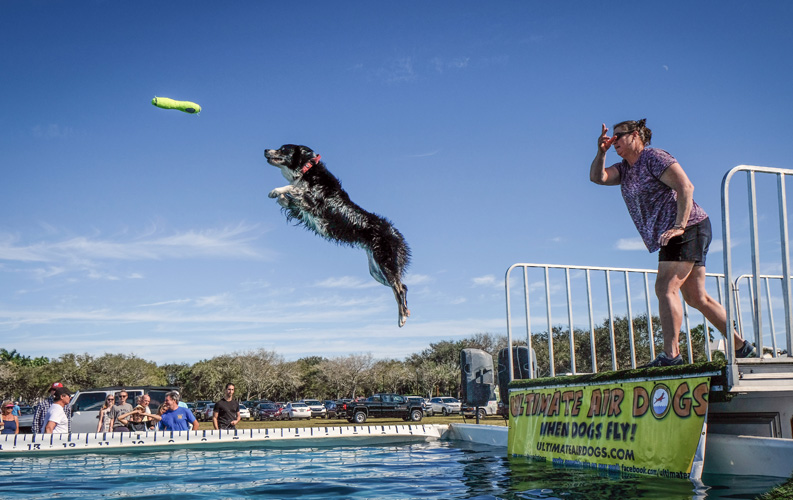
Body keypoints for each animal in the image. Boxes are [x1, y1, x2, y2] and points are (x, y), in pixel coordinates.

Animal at [268, 145, 414, 326]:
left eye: (283, 149)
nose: (265, 150)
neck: (307, 170)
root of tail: (396, 233)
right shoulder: (301, 210)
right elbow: (286, 197)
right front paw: (279, 194)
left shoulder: (314, 201)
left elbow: (295, 188)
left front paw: (276, 190)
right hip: (376, 271)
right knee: (400, 287)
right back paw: (403, 314)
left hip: (386, 263)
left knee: (400, 288)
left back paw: (402, 316)